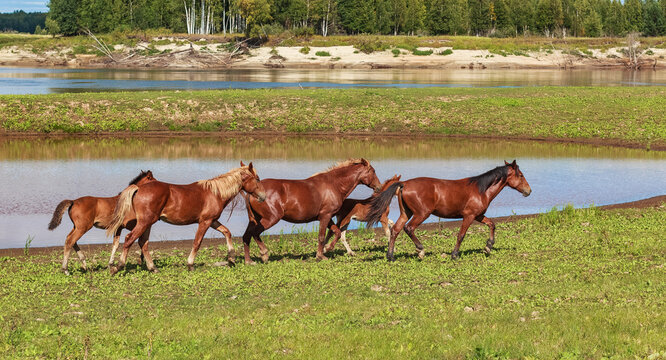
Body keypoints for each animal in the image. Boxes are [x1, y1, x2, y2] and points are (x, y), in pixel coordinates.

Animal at [106, 162, 264, 274]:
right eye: (257, 179)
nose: (263, 197)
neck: (216, 193)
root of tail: (139, 188)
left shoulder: (212, 221)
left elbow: (227, 232)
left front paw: (231, 258)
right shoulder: (205, 222)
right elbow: (197, 242)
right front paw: (190, 264)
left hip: (147, 223)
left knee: (143, 243)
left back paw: (153, 268)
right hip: (145, 222)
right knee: (129, 240)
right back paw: (118, 267)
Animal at [243, 159, 378, 262]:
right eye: (373, 171)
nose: (378, 186)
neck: (334, 184)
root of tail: (253, 193)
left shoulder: (326, 216)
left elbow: (337, 232)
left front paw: (326, 249)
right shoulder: (325, 216)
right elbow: (322, 236)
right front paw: (321, 255)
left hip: (255, 219)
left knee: (246, 236)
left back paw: (248, 261)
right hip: (271, 218)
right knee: (255, 233)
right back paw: (264, 254)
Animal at [366, 161, 532, 262]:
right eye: (521, 175)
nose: (528, 191)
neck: (481, 190)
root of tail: (404, 184)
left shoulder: (478, 215)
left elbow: (492, 224)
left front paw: (488, 246)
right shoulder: (469, 216)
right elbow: (461, 235)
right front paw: (455, 254)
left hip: (406, 213)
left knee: (395, 230)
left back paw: (391, 256)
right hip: (421, 214)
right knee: (409, 228)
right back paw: (420, 250)